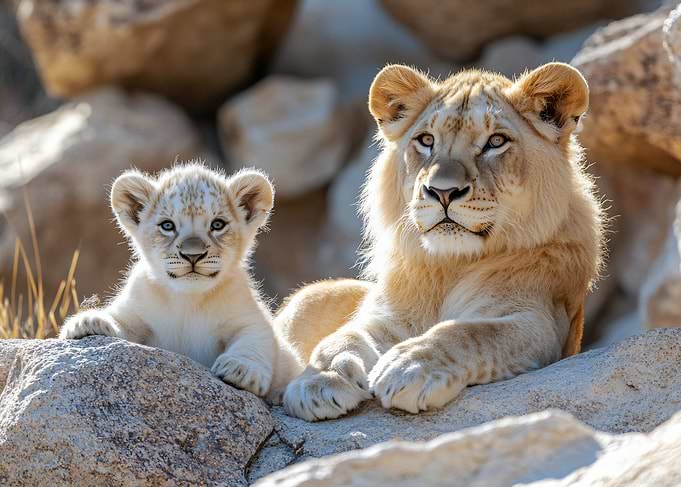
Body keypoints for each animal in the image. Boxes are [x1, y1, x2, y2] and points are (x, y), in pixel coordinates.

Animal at [59, 162, 300, 401]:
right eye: (167, 225)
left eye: (217, 224)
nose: (193, 255)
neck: (188, 299)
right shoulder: (135, 311)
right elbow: (119, 319)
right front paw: (88, 322)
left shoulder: (249, 317)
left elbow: (254, 338)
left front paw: (241, 370)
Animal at [276, 63, 604, 421]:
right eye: (426, 140)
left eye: (496, 141)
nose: (443, 191)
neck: (451, 265)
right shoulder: (387, 318)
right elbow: (343, 337)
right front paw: (319, 380)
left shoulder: (541, 323)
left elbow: (468, 332)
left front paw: (409, 367)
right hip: (310, 295)